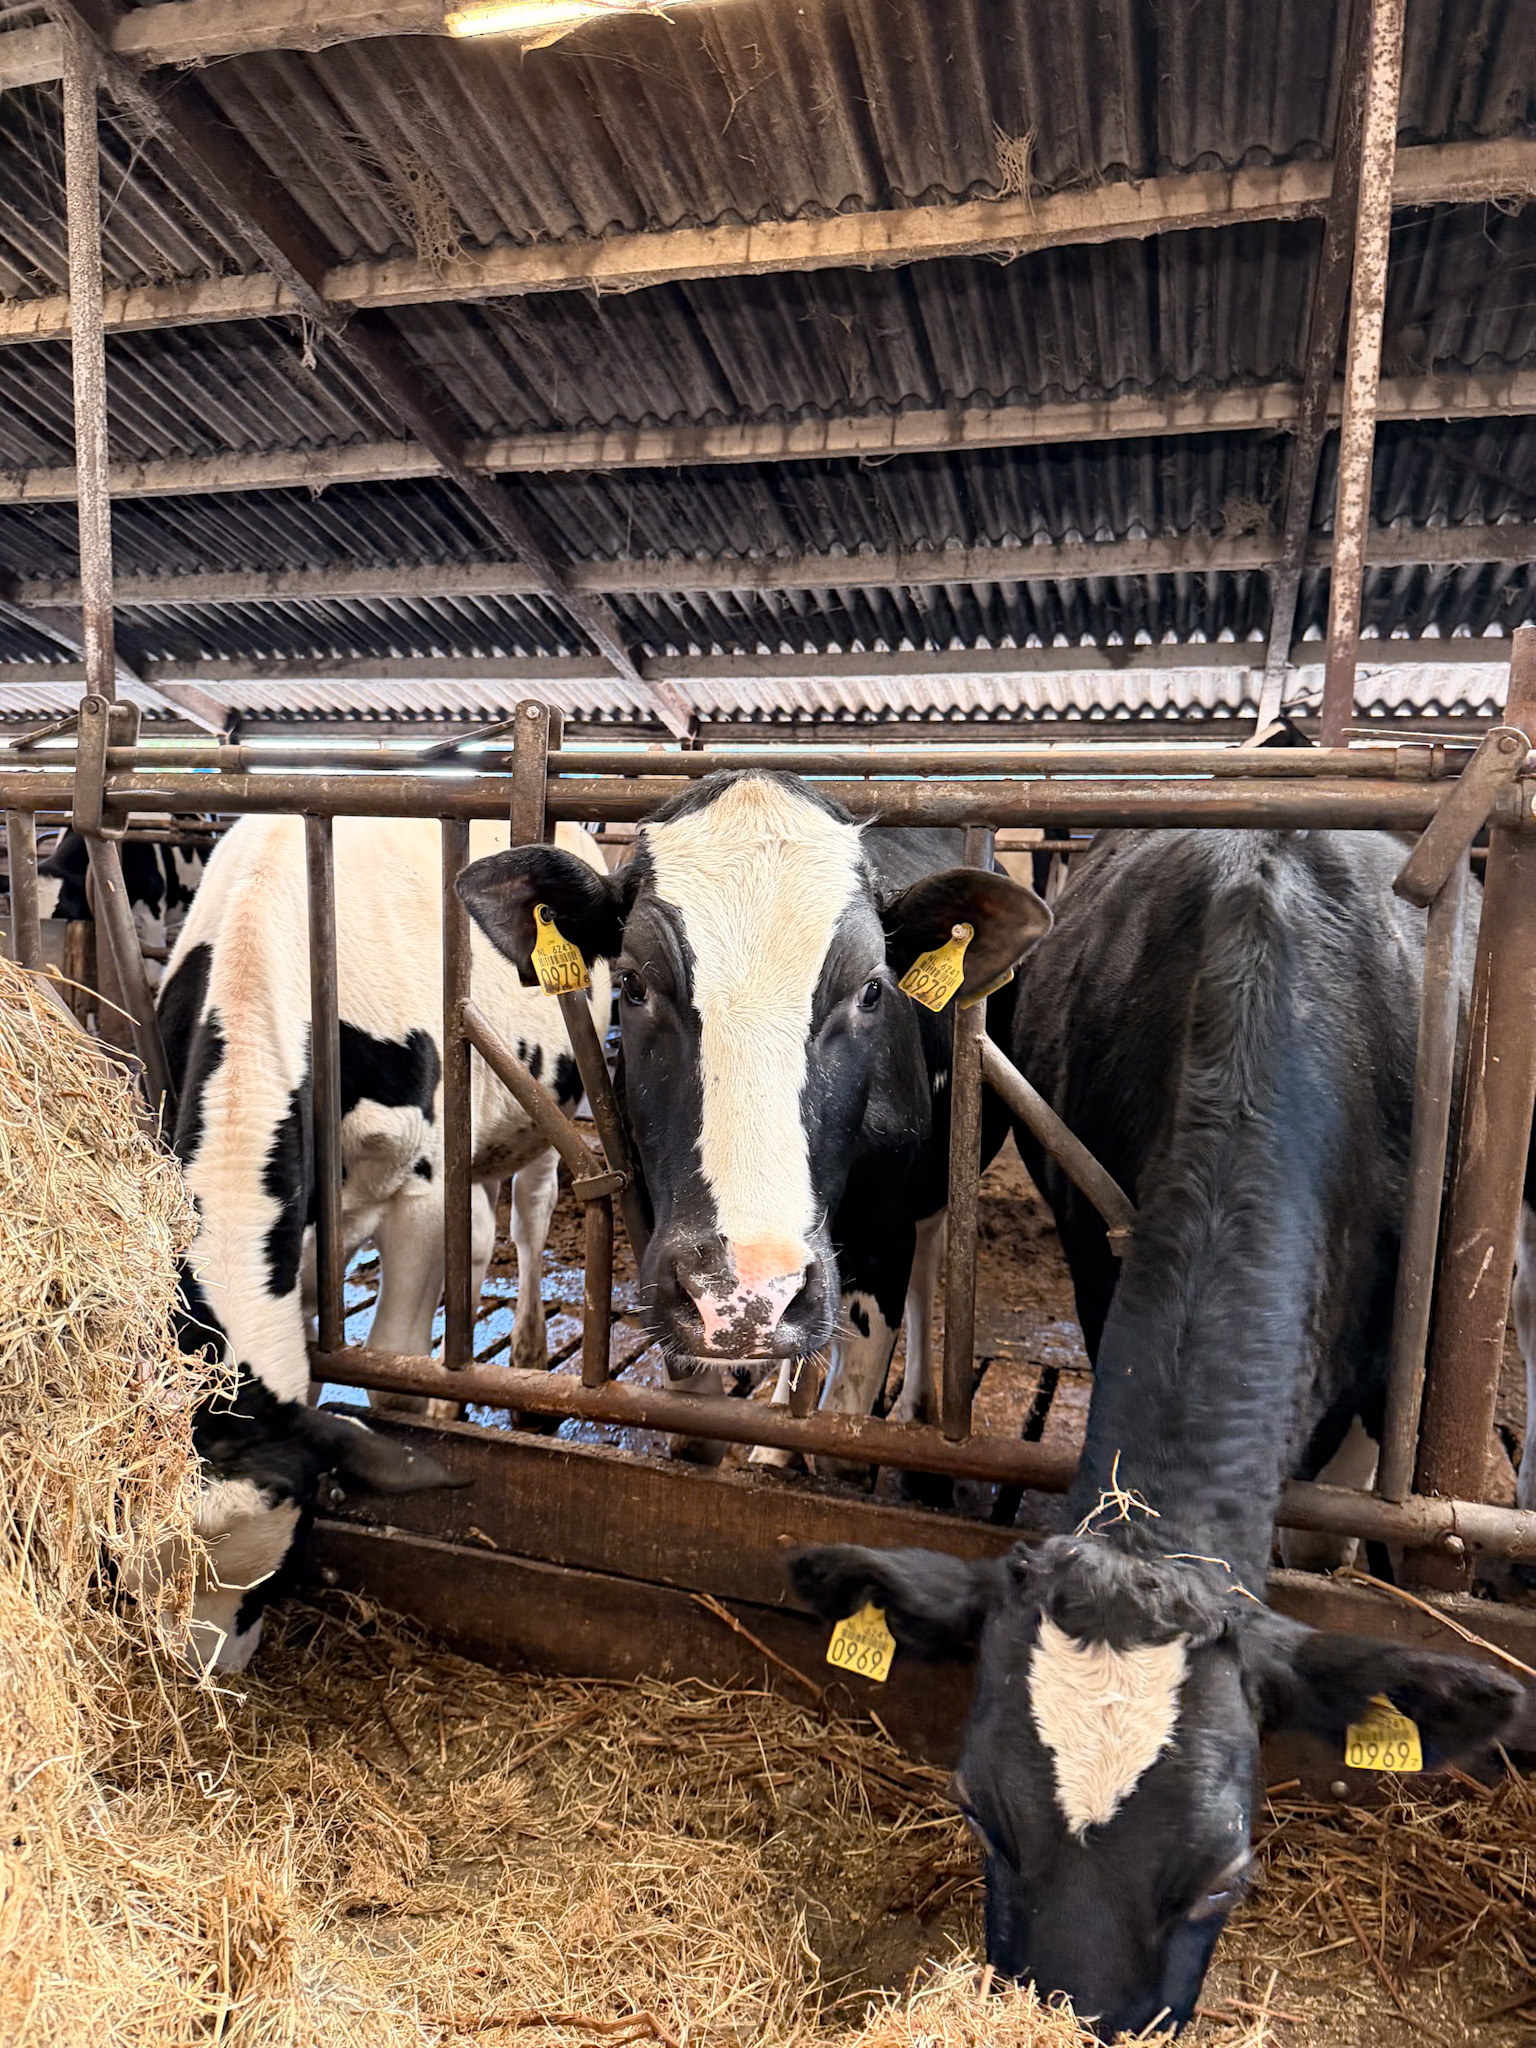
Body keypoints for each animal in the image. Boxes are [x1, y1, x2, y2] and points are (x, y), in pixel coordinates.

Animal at [156, 814, 610, 1671]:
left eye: (275, 1577)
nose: (208, 1683)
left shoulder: (420, 1190)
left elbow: (395, 1377)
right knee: (480, 1236)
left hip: (546, 1105)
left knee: (529, 1216)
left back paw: (529, 1355)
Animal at [455, 771, 1050, 1448]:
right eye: (632, 983)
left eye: (873, 990)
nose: (745, 1295)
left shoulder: (885, 1231)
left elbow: (845, 1414)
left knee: (930, 1259)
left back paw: (912, 1404)